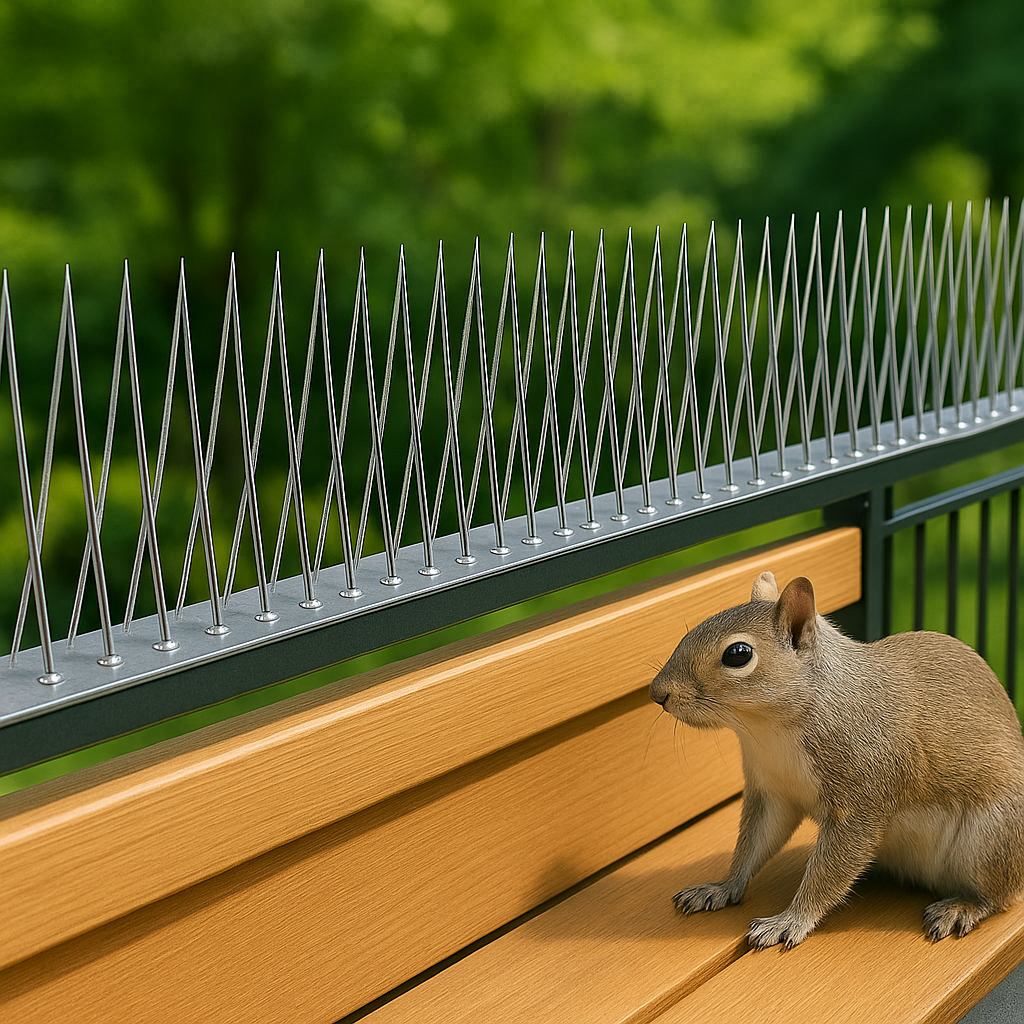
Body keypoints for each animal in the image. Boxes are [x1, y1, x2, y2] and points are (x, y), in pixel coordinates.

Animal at [649, 571, 1024, 950]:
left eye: (738, 654)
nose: (657, 692)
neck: (768, 730)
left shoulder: (862, 797)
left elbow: (829, 871)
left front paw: (790, 920)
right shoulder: (773, 792)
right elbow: (753, 845)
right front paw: (722, 887)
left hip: (992, 840)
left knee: (996, 895)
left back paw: (962, 907)